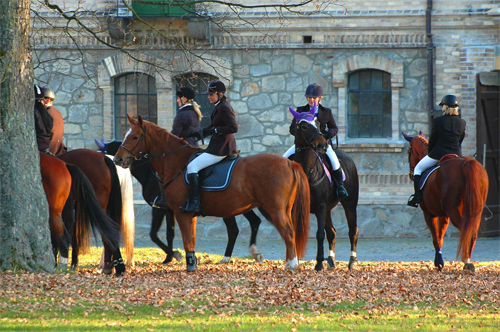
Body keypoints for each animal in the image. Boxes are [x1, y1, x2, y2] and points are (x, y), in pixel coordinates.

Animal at [95, 137, 264, 264]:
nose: (116, 160)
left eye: (105, 151)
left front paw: (174, 255)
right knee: (254, 221)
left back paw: (227, 257)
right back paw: (254, 253)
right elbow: (169, 233)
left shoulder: (159, 208)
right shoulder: (169, 210)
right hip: (240, 205)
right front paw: (169, 257)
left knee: (233, 229)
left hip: (226, 208)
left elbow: (154, 234)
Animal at [114, 114, 310, 272]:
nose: (118, 159)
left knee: (287, 232)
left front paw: (187, 265)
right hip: (277, 208)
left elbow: (184, 240)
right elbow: (190, 240)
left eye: (135, 136)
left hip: (273, 209)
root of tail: (288, 162)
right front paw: (191, 263)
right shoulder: (187, 214)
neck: (176, 162)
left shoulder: (180, 213)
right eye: (124, 134)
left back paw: (291, 265)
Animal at [290, 105, 360, 272]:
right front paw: (294, 263)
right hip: (328, 209)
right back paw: (331, 261)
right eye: (303, 126)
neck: (307, 171)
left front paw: (318, 264)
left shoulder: (321, 207)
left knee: (352, 230)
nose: (322, 145)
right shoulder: (298, 207)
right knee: (332, 233)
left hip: (349, 204)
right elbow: (295, 233)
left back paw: (352, 261)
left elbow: (320, 234)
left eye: (317, 122)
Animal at [402, 132, 488, 272]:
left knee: (465, 230)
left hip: (454, 211)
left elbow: (436, 239)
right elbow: (440, 237)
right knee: (472, 232)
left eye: (409, 151)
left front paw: (439, 262)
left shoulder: (429, 214)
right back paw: (468, 261)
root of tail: (467, 163)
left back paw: (466, 261)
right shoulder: (444, 215)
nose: (410, 173)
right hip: (476, 211)